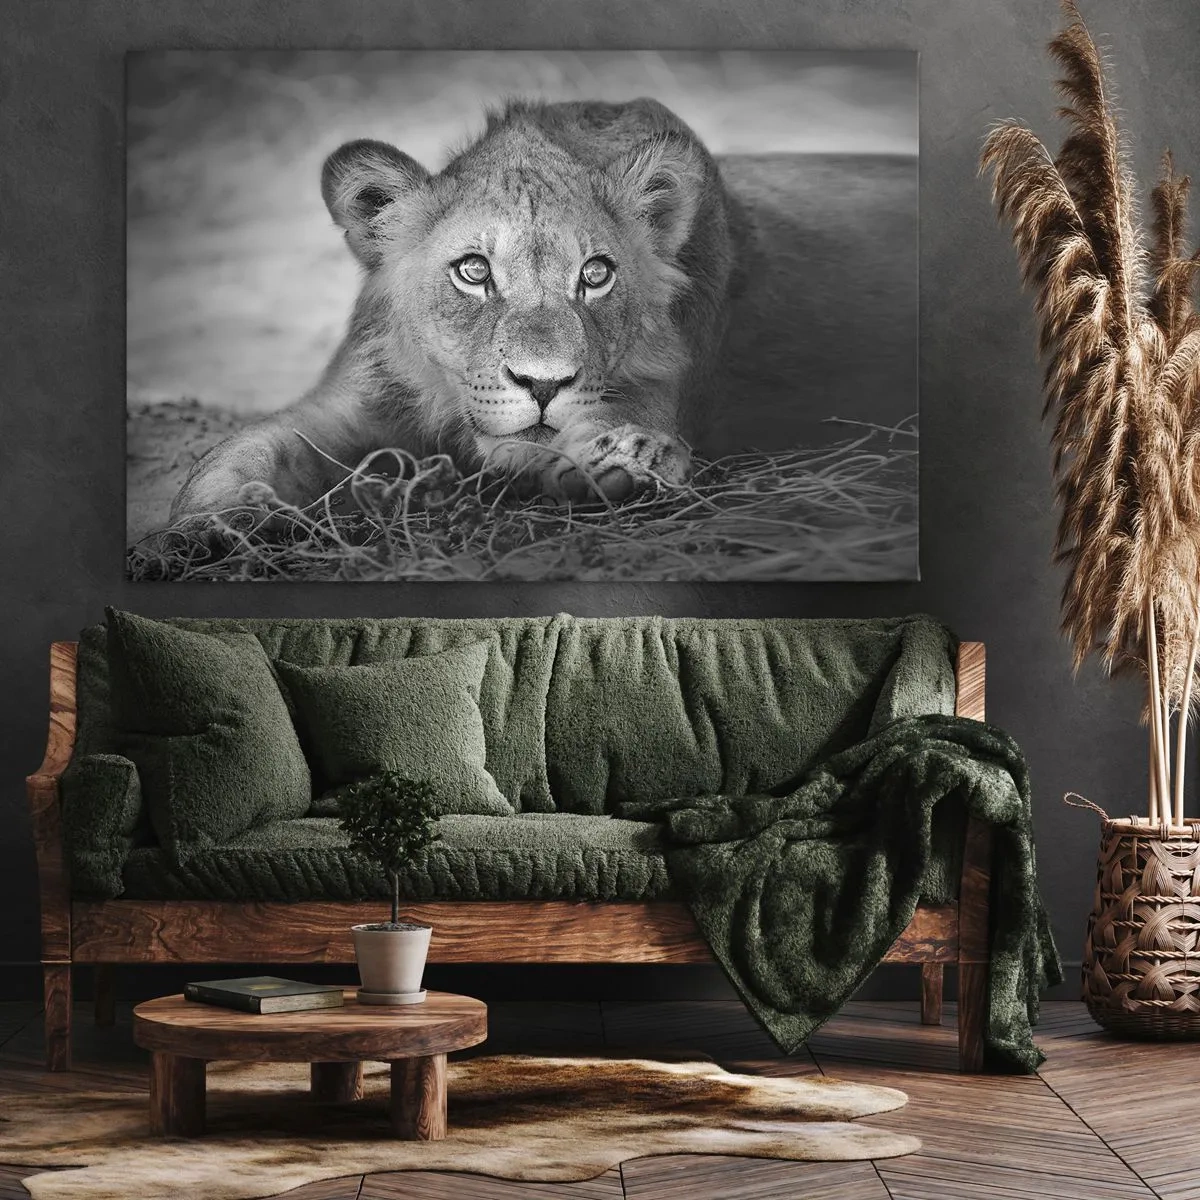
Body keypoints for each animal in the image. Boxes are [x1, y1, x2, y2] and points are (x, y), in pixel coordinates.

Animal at [169, 97, 746, 524]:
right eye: (473, 271)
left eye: (596, 274)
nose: (542, 384)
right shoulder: (350, 401)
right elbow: (243, 450)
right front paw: (205, 527)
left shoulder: (657, 382)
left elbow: (627, 419)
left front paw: (628, 459)